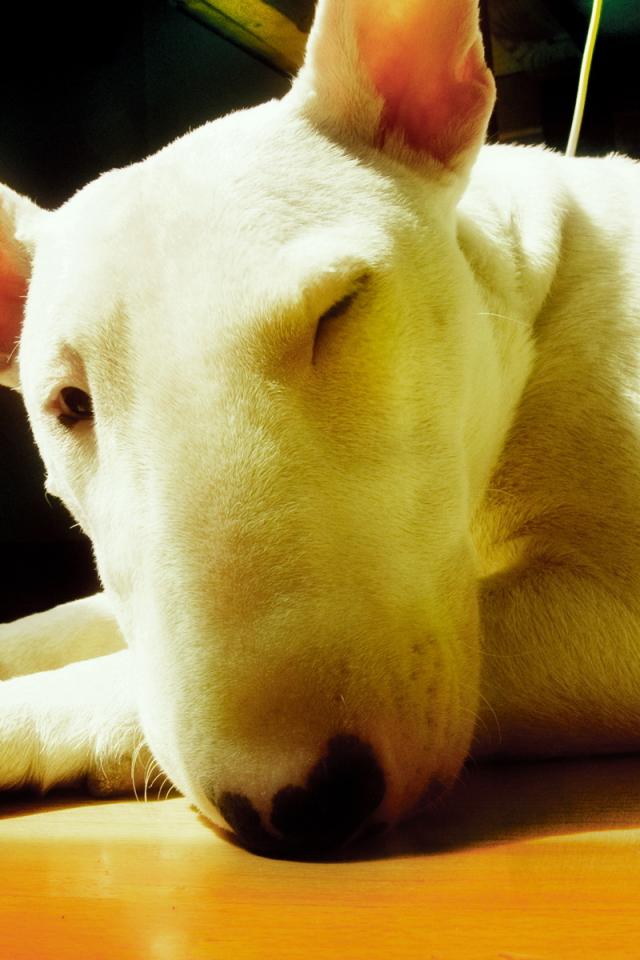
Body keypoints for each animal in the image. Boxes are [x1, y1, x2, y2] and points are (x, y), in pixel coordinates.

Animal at [1, 0, 639, 858]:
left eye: (340, 307)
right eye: (69, 403)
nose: (307, 805)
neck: (537, 302)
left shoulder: (606, 608)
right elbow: (71, 620)